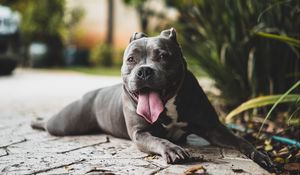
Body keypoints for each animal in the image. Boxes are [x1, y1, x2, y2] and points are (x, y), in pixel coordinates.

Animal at [32, 28, 274, 170]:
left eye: (164, 56)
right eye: (131, 59)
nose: (144, 71)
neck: (168, 105)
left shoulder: (213, 127)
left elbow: (240, 140)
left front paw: (259, 155)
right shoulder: (141, 133)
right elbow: (159, 140)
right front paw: (173, 149)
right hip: (66, 123)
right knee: (50, 124)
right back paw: (37, 121)